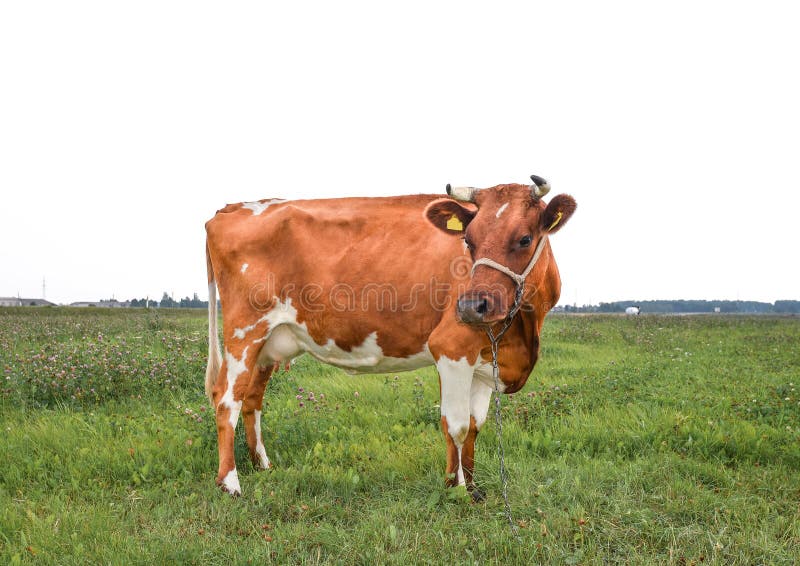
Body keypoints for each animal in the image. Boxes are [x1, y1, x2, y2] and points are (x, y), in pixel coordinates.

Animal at [206, 176, 576, 496]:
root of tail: (234, 207)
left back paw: (262, 464)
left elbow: (474, 426)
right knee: (227, 400)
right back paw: (230, 482)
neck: (524, 331)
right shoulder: (451, 348)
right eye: (468, 241)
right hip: (244, 332)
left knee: (252, 399)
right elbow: (455, 425)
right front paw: (456, 490)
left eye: (525, 238)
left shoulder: (486, 358)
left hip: (267, 344)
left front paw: (472, 487)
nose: (472, 307)